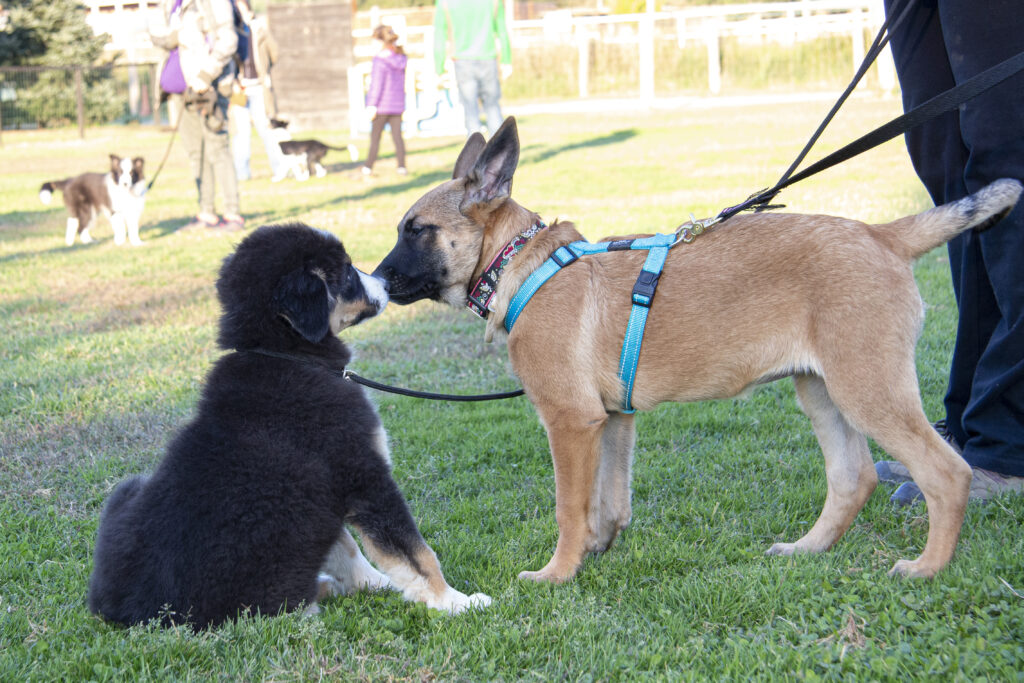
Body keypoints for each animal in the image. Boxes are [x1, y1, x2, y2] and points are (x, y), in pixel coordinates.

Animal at [87, 224, 491, 629]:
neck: (286, 352)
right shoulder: (364, 476)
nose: (385, 283)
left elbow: (348, 548)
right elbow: (415, 552)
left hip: (125, 490)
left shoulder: (327, 495)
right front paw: (454, 601)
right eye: (347, 273)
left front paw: (380, 584)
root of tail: (123, 612)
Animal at [373, 117, 1023, 583]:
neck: (524, 265)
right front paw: (596, 551)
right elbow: (608, 501)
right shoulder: (614, 419)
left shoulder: (570, 421)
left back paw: (928, 568)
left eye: (416, 230)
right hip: (822, 390)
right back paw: (807, 549)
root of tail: (881, 233)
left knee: (947, 472)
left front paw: (557, 574)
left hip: (868, 388)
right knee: (853, 478)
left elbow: (569, 506)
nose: (371, 282)